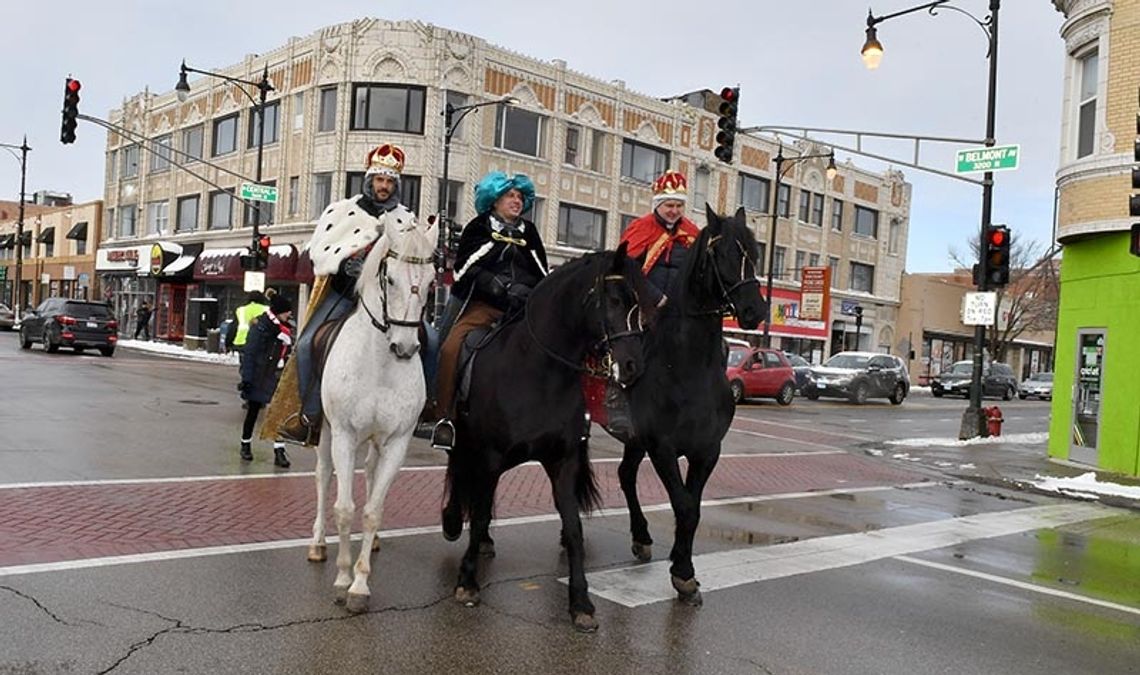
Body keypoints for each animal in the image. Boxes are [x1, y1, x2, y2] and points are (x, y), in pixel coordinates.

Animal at [305, 214, 437, 611]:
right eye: (389, 278)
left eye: (432, 283)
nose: (405, 347)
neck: (380, 365)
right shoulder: (344, 435)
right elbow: (345, 508)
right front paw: (342, 578)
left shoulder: (396, 442)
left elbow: (372, 510)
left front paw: (360, 583)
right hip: (325, 433)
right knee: (323, 477)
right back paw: (317, 544)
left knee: (368, 473)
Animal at [444, 244, 661, 633]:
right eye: (613, 299)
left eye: (639, 303)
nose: (633, 366)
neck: (539, 371)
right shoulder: (491, 456)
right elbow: (480, 514)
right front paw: (467, 581)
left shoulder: (563, 460)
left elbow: (573, 528)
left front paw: (581, 603)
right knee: (457, 468)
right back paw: (454, 520)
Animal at [615, 204, 766, 606]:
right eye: (720, 252)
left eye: (755, 254)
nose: (755, 310)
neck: (686, 366)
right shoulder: (662, 447)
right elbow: (682, 504)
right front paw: (682, 573)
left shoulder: (707, 449)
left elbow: (693, 508)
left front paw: (683, 564)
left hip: (634, 441)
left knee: (625, 474)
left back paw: (641, 536)